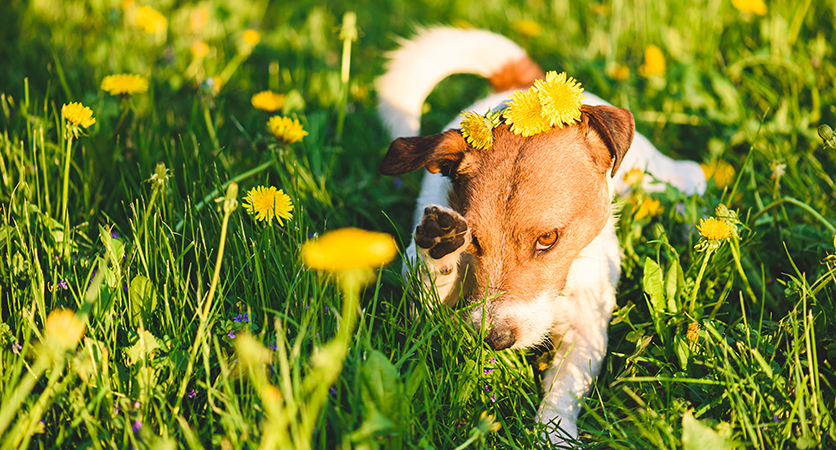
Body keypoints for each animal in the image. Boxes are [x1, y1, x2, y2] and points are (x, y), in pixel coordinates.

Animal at [376, 28, 704, 446]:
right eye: (474, 239)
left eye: (548, 238)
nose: (494, 339)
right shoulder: (422, 312)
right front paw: (439, 248)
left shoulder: (586, 324)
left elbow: (564, 388)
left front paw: (555, 435)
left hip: (646, 171)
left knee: (690, 175)